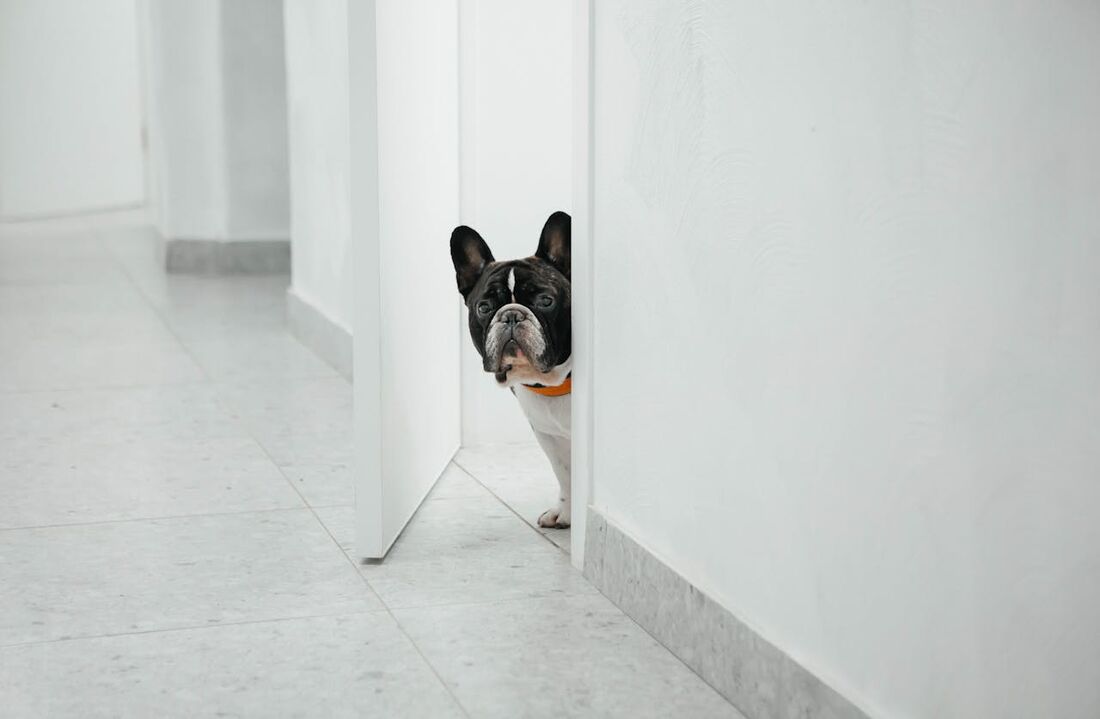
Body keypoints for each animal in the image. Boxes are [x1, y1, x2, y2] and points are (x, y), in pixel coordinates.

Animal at [448, 209, 572, 529]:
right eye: (484, 307)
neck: (555, 381)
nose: (512, 315)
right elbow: (564, 473)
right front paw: (566, 512)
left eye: (546, 301)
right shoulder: (548, 434)